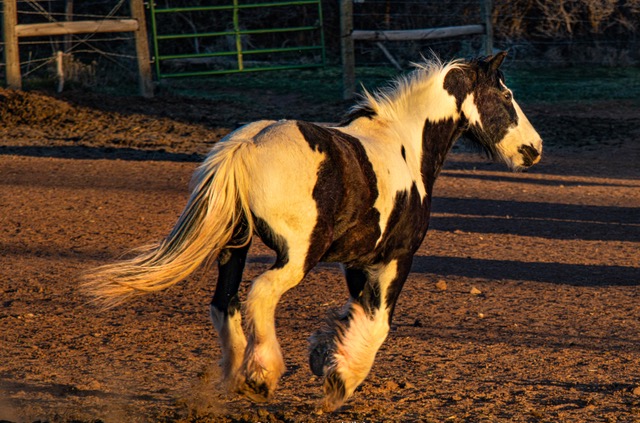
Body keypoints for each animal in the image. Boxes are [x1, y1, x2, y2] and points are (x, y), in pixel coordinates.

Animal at [82, 52, 542, 412]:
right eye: (507, 96)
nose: (534, 149)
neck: (405, 147)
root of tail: (246, 146)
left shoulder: (358, 262)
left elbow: (358, 313)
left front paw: (327, 356)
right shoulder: (397, 258)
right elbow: (379, 322)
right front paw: (340, 381)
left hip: (236, 244)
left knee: (224, 302)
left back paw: (235, 377)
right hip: (298, 254)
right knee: (259, 294)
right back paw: (261, 376)